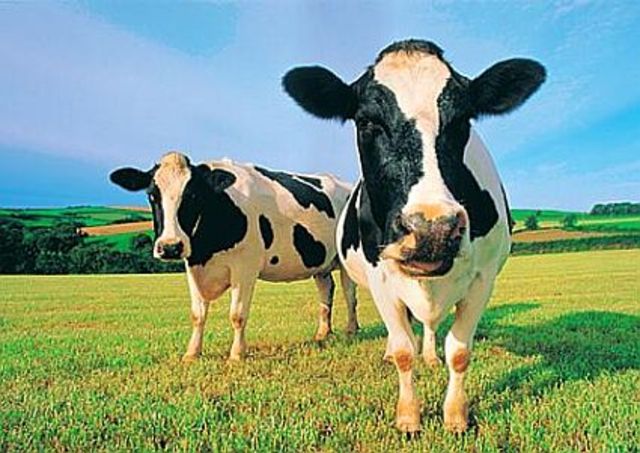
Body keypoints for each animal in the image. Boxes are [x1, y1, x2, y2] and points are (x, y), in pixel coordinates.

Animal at [109, 152, 359, 362]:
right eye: (152, 195)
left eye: (192, 195)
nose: (170, 247)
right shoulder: (192, 266)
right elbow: (197, 315)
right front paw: (192, 353)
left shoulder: (245, 267)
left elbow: (237, 314)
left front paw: (237, 355)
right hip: (320, 262)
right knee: (326, 291)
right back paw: (323, 333)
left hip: (346, 259)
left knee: (349, 294)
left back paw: (351, 330)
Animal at [282, 39, 545, 433]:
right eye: (367, 122)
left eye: (463, 120)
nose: (432, 229)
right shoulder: (380, 277)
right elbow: (405, 350)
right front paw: (408, 418)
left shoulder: (483, 278)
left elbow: (460, 351)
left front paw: (456, 417)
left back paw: (431, 356)